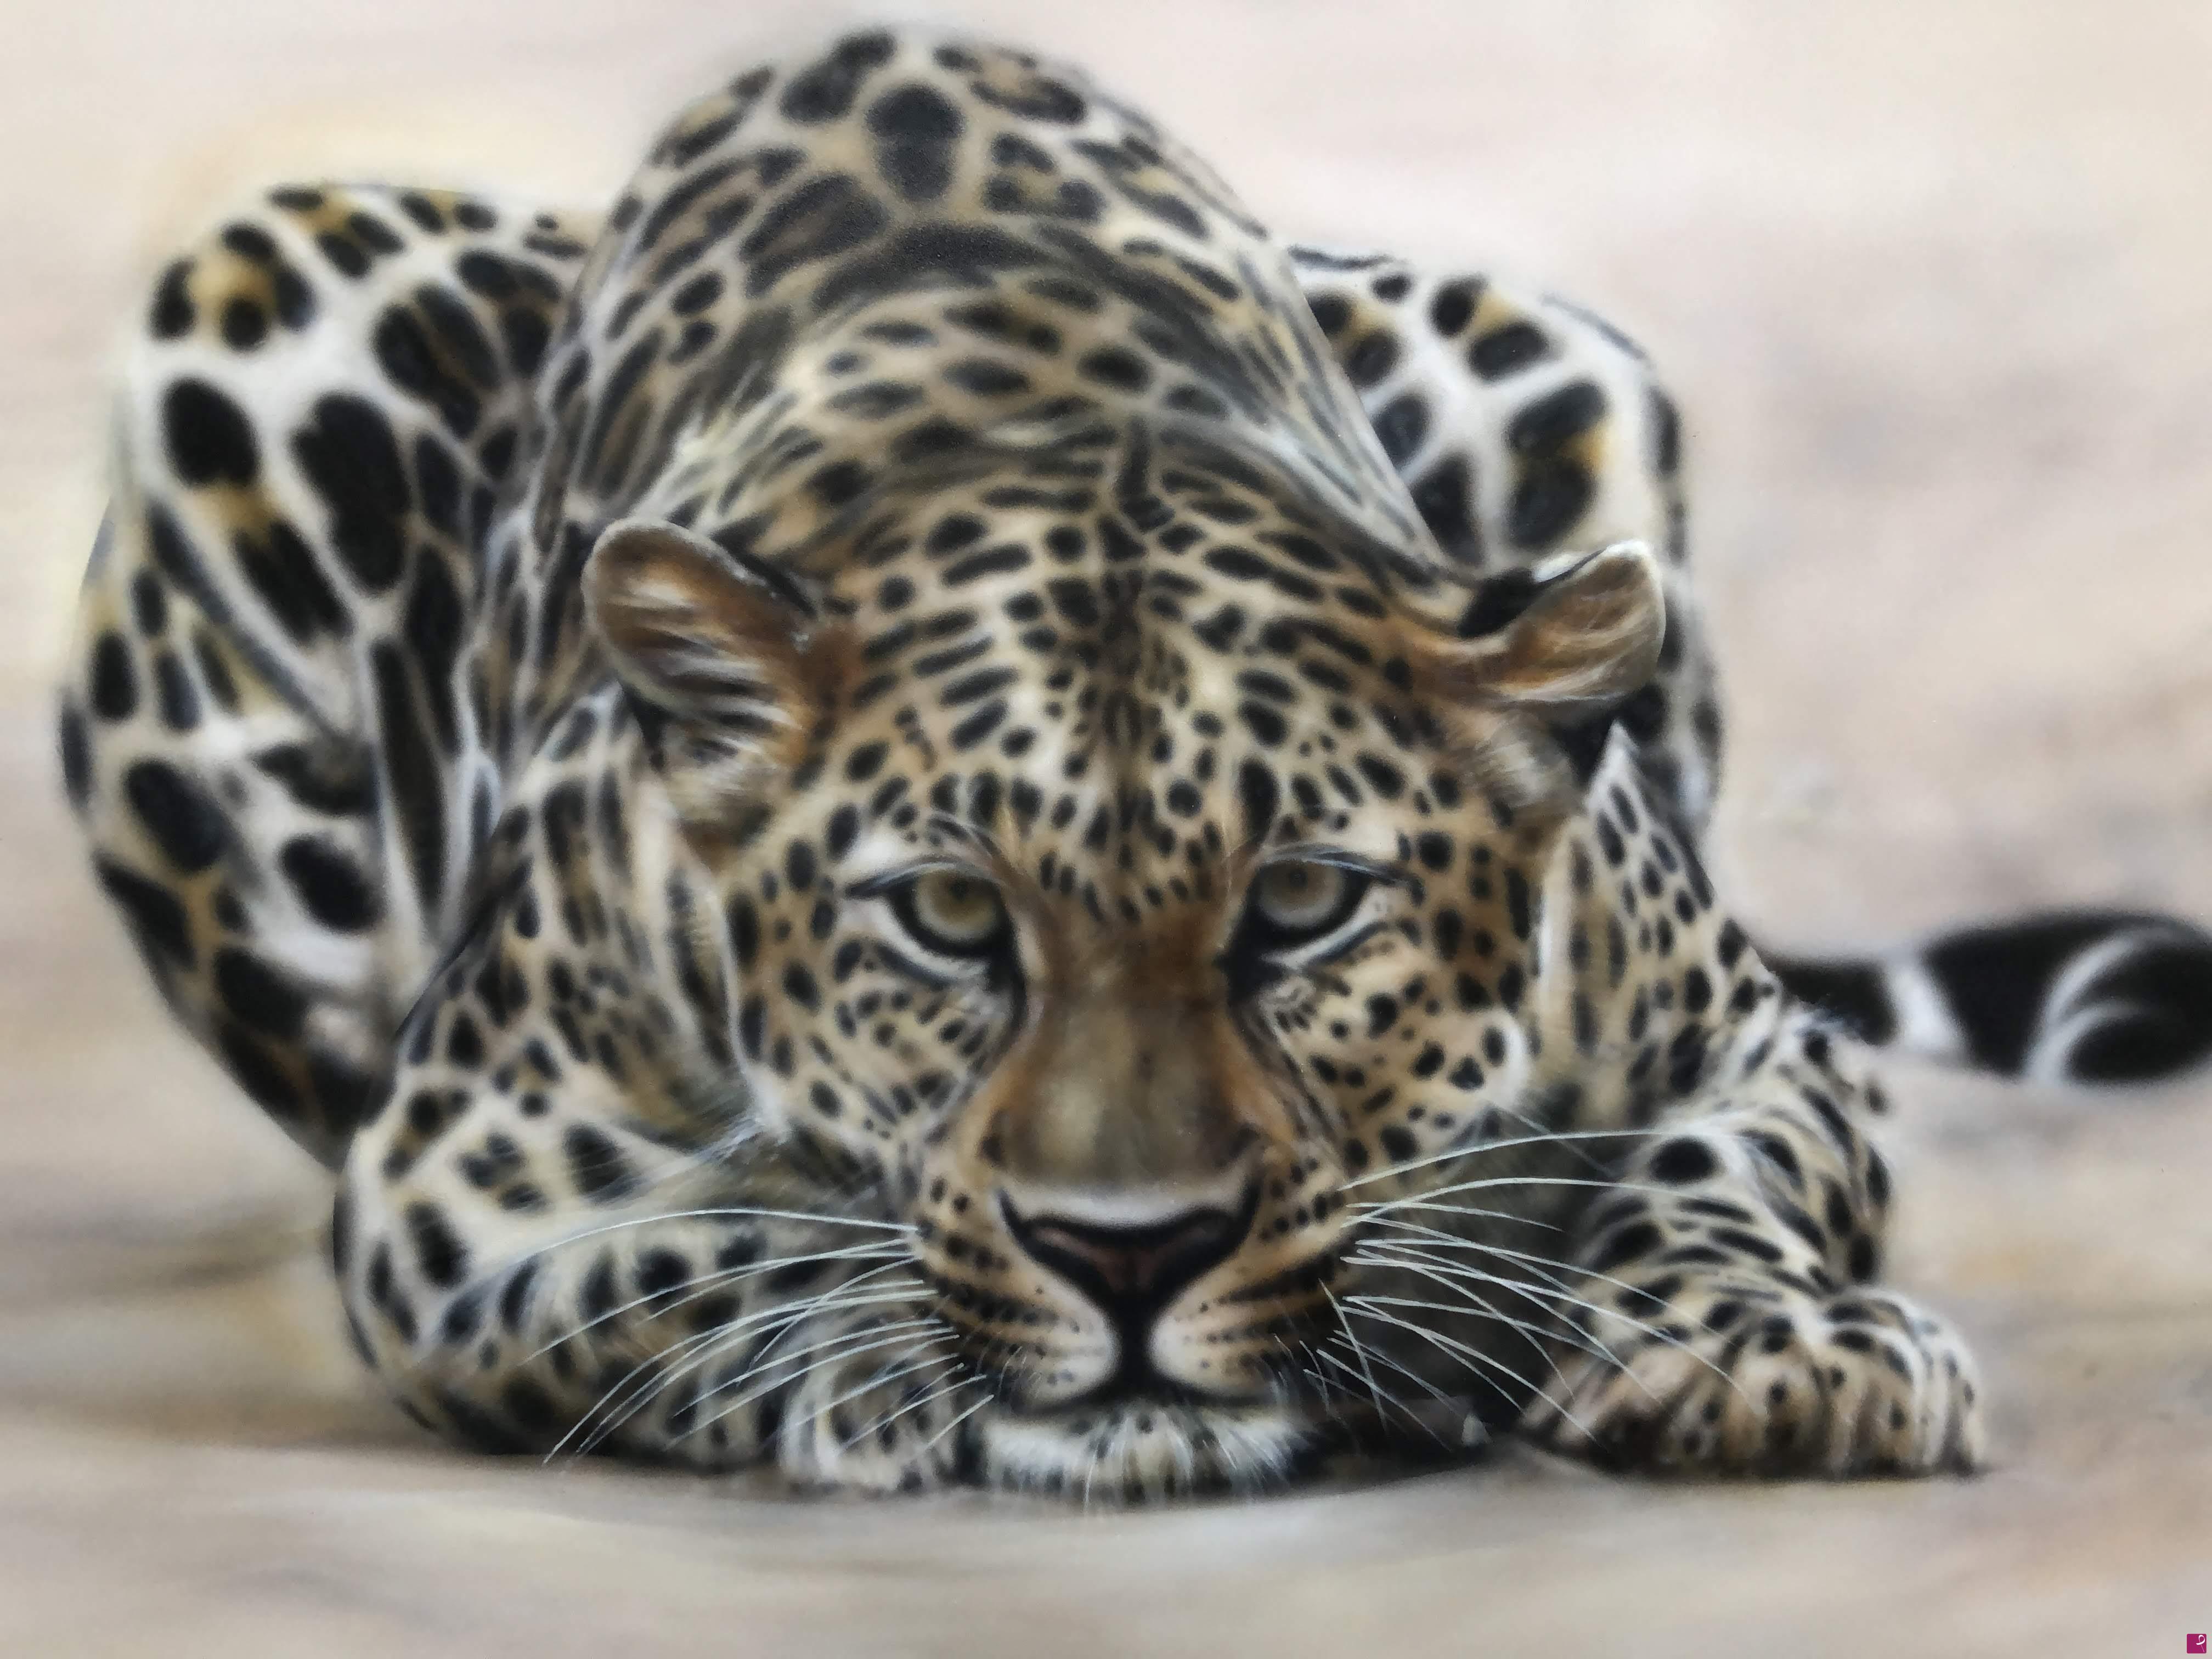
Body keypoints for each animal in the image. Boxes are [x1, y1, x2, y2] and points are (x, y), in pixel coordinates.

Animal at [57, 24, 2212, 1500]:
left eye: (1306, 906)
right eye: (944, 916)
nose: (1132, 1256)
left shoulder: (1753, 1040)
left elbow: (1714, 1172)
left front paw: (1762, 1350)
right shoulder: (454, 1183)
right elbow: (696, 1248)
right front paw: (893, 1355)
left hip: (1564, 359)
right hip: (255, 303)